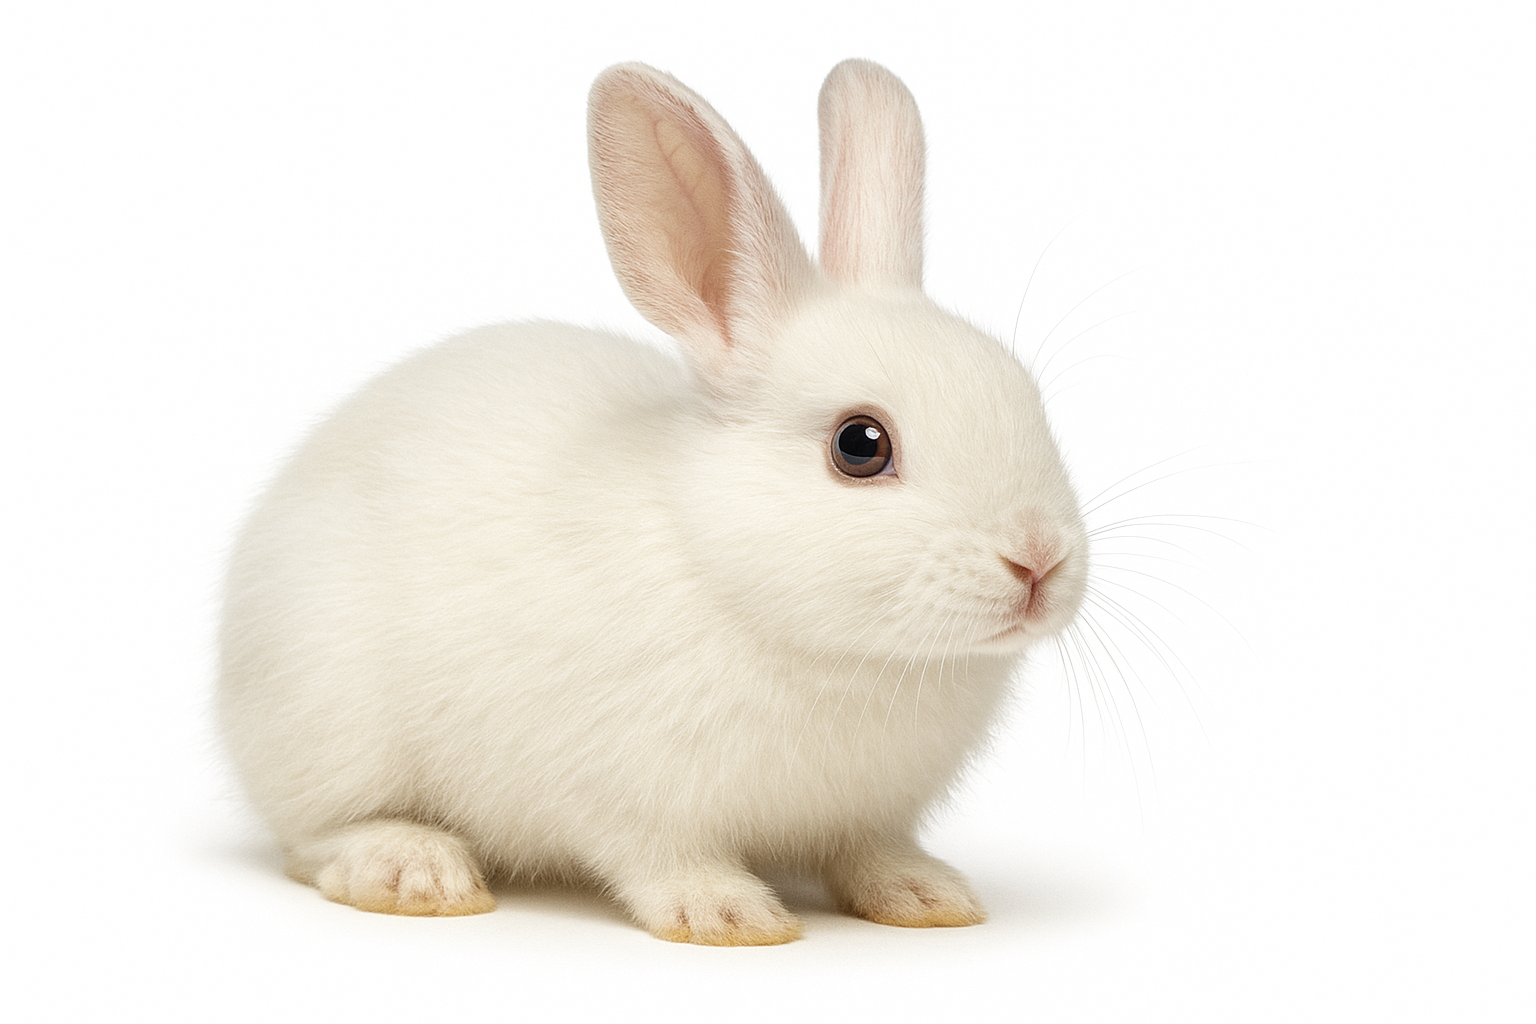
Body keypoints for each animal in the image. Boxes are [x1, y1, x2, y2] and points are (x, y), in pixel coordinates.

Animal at [218, 58, 1090, 946]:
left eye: (1029, 399)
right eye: (860, 445)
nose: (1038, 559)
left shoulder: (869, 813)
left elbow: (869, 851)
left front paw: (927, 897)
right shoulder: (619, 793)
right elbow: (659, 857)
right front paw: (728, 914)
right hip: (332, 722)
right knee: (312, 838)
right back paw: (413, 870)